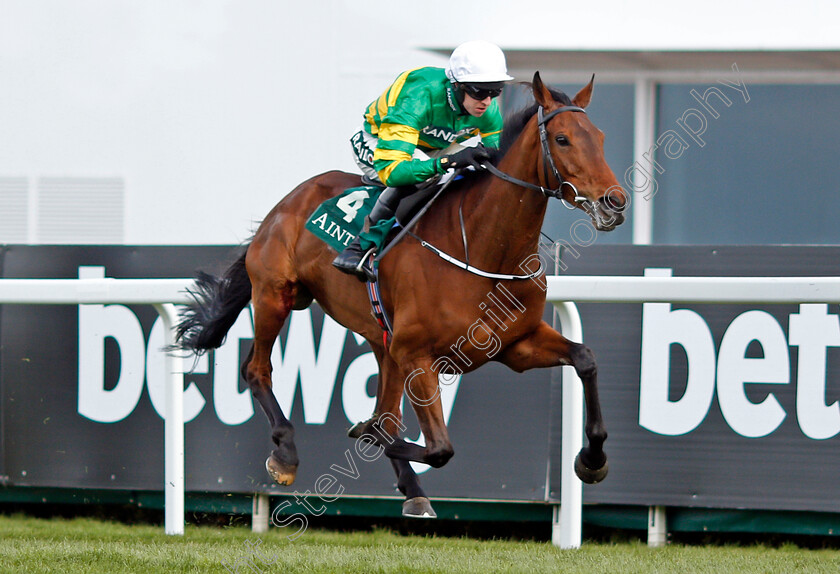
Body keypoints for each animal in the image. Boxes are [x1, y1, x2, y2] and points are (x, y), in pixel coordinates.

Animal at [176, 74, 624, 520]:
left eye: (601, 137)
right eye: (563, 139)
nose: (614, 202)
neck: (483, 249)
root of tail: (286, 203)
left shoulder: (515, 345)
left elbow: (585, 358)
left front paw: (593, 460)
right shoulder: (417, 354)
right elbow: (438, 447)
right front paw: (363, 433)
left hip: (381, 338)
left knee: (384, 409)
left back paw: (411, 487)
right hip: (275, 294)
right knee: (257, 369)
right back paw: (285, 454)